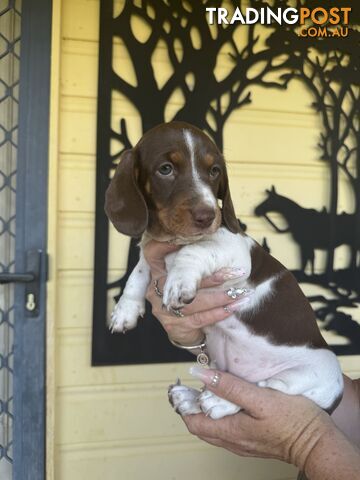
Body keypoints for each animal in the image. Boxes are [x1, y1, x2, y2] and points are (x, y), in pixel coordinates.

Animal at [105, 121, 344, 420]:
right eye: (166, 169)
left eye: (214, 171)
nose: (207, 216)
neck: (172, 239)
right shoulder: (152, 252)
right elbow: (138, 271)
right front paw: (125, 310)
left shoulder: (235, 251)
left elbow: (194, 251)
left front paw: (179, 282)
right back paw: (190, 398)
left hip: (314, 372)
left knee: (263, 389)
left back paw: (217, 401)